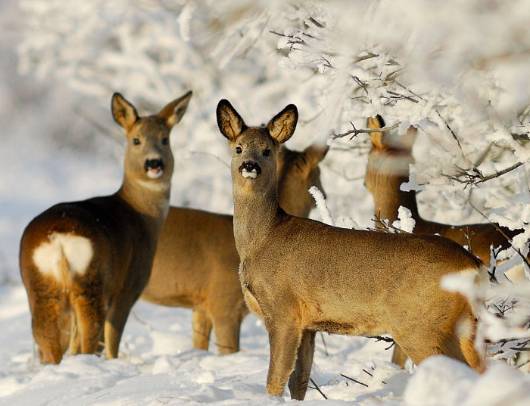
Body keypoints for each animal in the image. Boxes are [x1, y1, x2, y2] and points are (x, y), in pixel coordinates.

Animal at [19, 90, 192, 364]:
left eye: (165, 139)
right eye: (136, 140)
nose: (154, 163)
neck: (142, 215)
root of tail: (58, 237)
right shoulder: (128, 284)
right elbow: (112, 338)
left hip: (39, 285)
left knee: (48, 337)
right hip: (91, 280)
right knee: (92, 333)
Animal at [214, 99, 482, 400]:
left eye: (267, 150)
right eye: (238, 148)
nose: (250, 165)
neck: (262, 239)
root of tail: (473, 265)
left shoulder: (284, 309)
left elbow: (275, 379)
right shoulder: (309, 324)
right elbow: (299, 381)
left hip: (420, 326)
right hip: (465, 328)